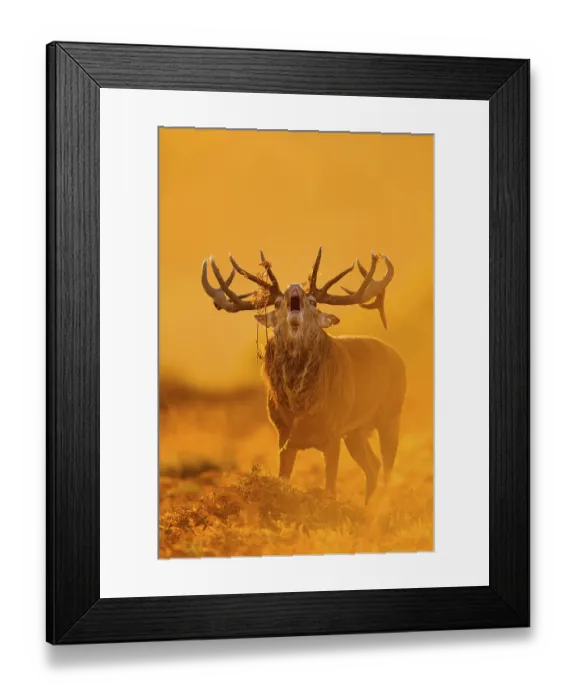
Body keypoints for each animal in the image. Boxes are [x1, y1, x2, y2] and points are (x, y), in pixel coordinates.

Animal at [201, 248, 406, 504]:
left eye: (313, 301)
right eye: (278, 302)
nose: (295, 288)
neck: (299, 402)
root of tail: (399, 358)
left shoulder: (334, 430)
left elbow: (331, 485)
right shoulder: (283, 431)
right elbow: (284, 475)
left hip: (390, 414)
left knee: (387, 465)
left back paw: (381, 508)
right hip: (356, 431)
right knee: (373, 465)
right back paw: (366, 507)